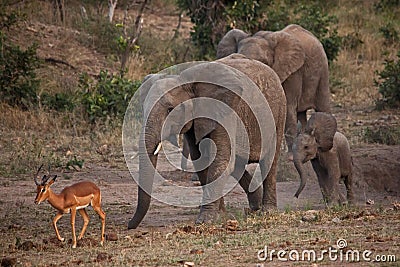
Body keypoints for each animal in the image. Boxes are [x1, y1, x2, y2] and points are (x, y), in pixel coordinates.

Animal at [126, 54, 286, 230]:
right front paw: (221, 216)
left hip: (279, 112)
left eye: (170, 109)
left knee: (269, 162)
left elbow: (221, 161)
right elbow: (202, 162)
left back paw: (267, 211)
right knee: (237, 163)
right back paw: (254, 207)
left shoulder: (225, 112)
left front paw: (204, 221)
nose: (129, 225)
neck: (186, 82)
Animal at [217, 24, 330, 160]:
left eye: (264, 63)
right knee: (301, 114)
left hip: (323, 71)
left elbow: (288, 108)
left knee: (323, 107)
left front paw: (290, 157)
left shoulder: (292, 74)